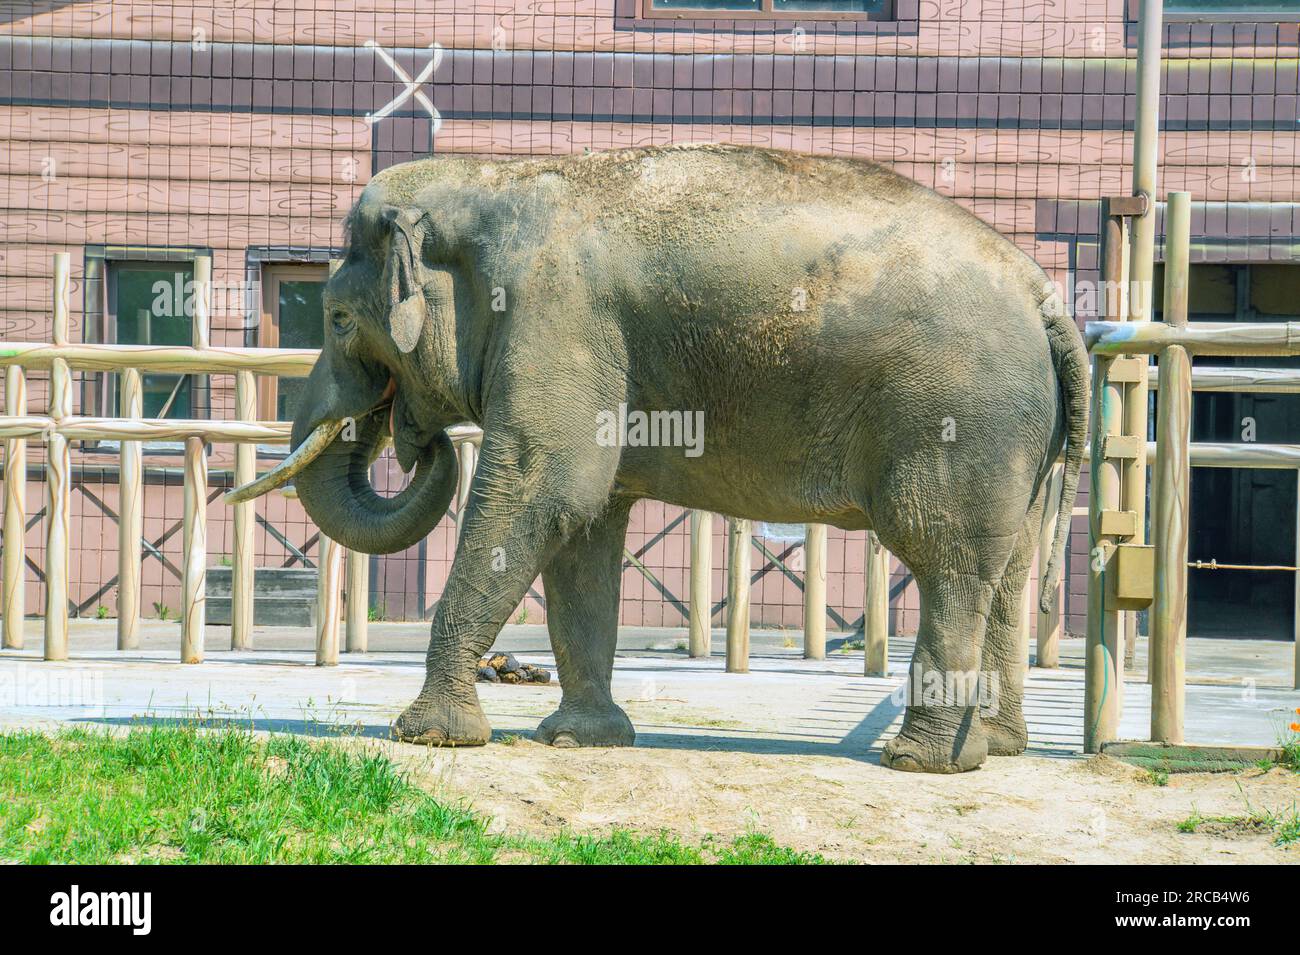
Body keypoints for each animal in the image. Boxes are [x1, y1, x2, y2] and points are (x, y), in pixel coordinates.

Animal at [229, 144, 1088, 774]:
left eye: (339, 320)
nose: (413, 437)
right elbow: (584, 528)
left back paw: (921, 761)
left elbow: (542, 491)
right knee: (1008, 569)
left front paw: (429, 736)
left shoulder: (557, 318)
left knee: (947, 558)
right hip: (1017, 440)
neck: (490, 178)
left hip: (959, 419)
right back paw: (995, 747)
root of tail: (1046, 298)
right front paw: (576, 739)